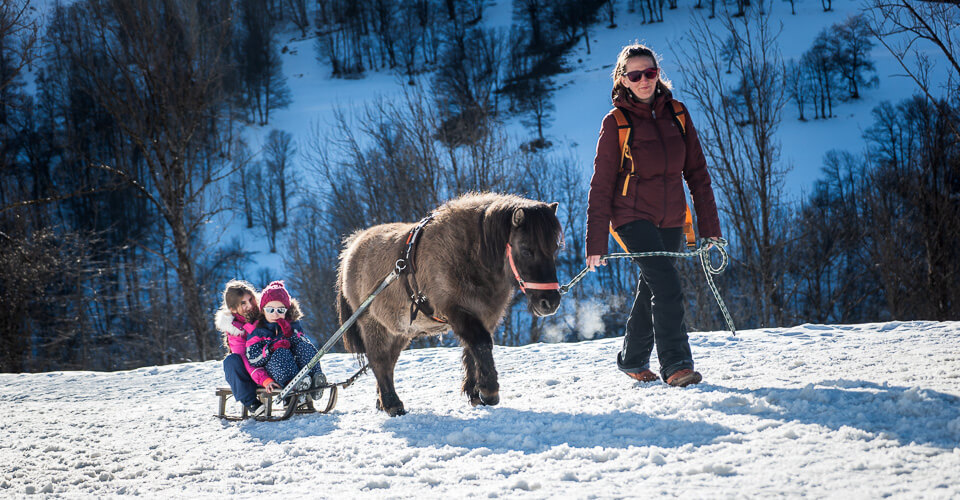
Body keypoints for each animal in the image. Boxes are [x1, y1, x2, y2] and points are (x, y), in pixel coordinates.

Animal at [338, 191, 564, 414]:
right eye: (526, 250)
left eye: (554, 249)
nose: (550, 302)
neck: (467, 254)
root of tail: (353, 248)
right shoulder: (457, 311)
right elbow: (481, 344)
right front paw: (489, 391)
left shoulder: (485, 315)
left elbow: (473, 350)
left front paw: (476, 393)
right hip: (372, 324)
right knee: (380, 361)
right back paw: (393, 404)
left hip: (398, 331)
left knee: (389, 361)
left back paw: (382, 402)